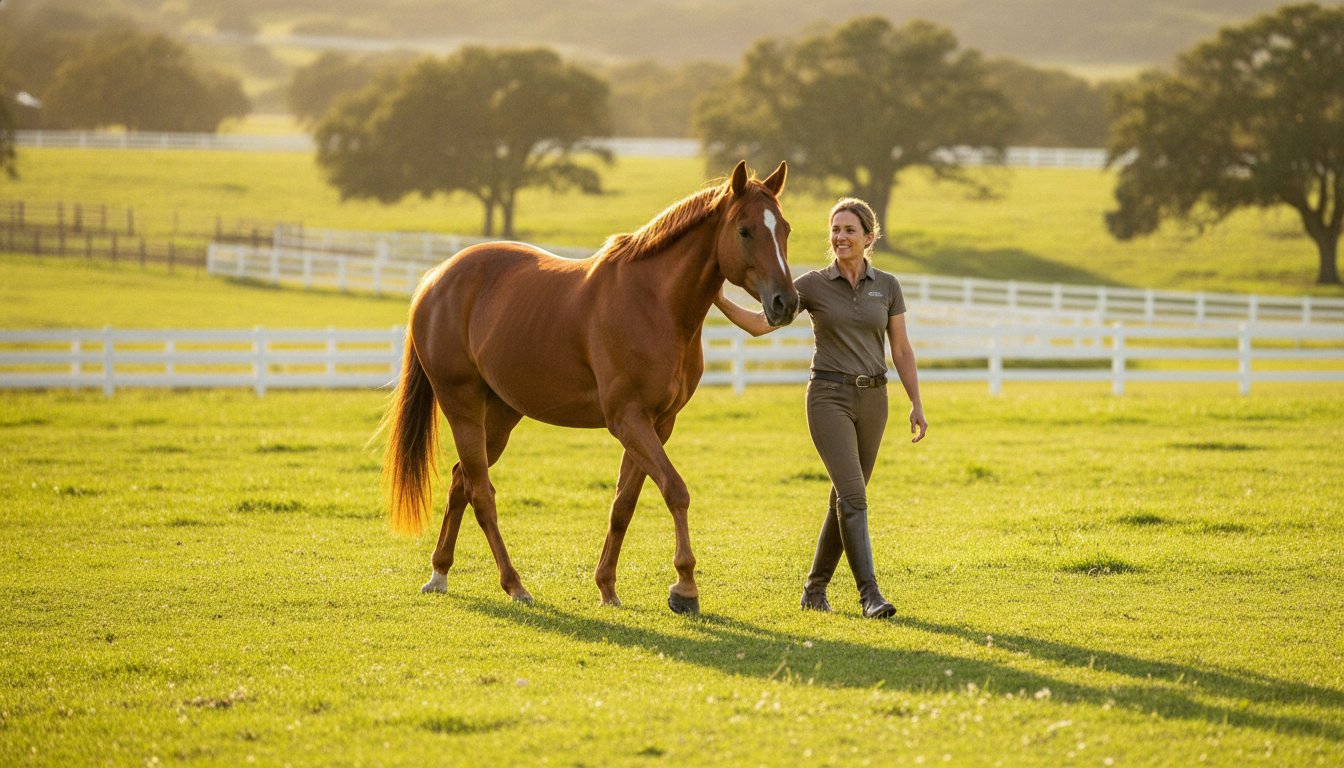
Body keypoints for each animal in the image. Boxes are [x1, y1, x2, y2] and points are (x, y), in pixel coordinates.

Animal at [380, 160, 797, 614]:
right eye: (745, 230)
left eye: (785, 229)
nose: (786, 303)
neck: (654, 303)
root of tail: (435, 280)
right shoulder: (628, 420)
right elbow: (675, 491)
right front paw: (685, 587)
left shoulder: (658, 424)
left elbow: (624, 505)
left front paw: (607, 586)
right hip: (463, 407)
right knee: (482, 494)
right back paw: (514, 585)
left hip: (502, 415)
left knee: (462, 481)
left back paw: (440, 573)